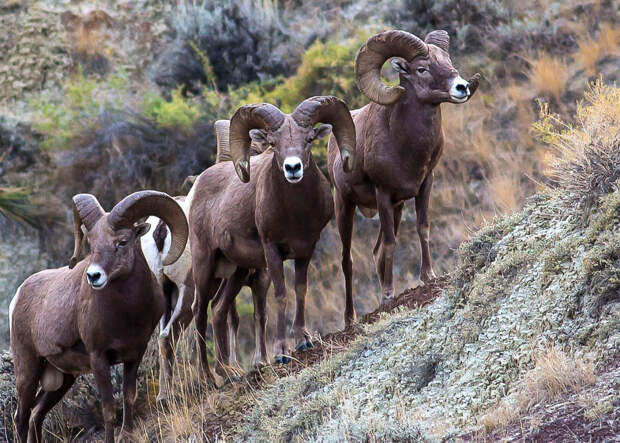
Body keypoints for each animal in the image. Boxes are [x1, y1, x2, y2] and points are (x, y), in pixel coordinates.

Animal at [9, 191, 186, 443]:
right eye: (91, 243)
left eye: (122, 242)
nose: (94, 276)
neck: (127, 315)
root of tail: (19, 295)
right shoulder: (99, 358)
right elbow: (109, 408)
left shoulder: (134, 355)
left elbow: (129, 397)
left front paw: (127, 435)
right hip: (28, 368)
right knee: (21, 417)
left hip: (63, 379)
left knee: (36, 415)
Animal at [189, 96, 354, 382]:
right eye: (274, 144)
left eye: (309, 139)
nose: (293, 168)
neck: (295, 214)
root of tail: (198, 185)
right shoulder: (272, 251)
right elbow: (281, 295)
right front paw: (281, 353)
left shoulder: (306, 249)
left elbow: (300, 289)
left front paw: (303, 340)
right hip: (205, 264)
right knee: (199, 312)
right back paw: (210, 378)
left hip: (237, 270)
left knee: (219, 309)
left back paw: (228, 372)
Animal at [330, 29, 480, 324]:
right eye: (421, 69)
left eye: (448, 61)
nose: (462, 88)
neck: (404, 146)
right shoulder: (383, 194)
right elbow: (390, 243)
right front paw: (388, 296)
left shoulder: (423, 185)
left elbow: (422, 228)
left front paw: (428, 276)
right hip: (345, 206)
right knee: (347, 260)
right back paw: (351, 317)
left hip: (397, 209)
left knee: (375, 251)